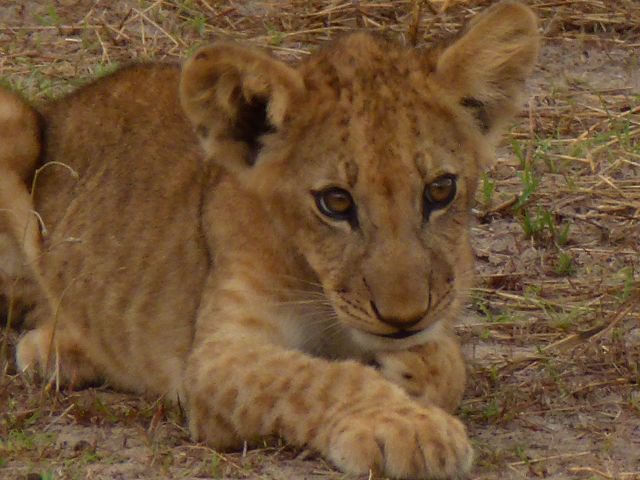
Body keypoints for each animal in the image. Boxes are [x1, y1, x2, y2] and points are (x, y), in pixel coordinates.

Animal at [0, 1, 539, 478]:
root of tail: (62, 103)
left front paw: (414, 371)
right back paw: (53, 350)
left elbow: (448, 365)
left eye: (440, 190)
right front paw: (409, 428)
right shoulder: (214, 359)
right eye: (335, 202)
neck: (317, 284)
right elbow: (314, 378)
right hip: (14, 120)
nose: (404, 319)